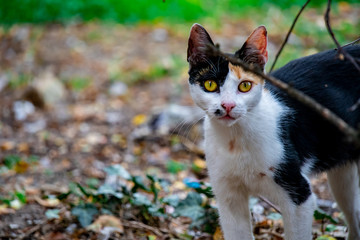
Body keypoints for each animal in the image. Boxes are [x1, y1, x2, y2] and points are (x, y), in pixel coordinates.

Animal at [187, 23, 358, 240]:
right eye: (210, 85)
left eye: (245, 86)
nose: (228, 105)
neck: (236, 141)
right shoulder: (228, 196)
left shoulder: (299, 196)